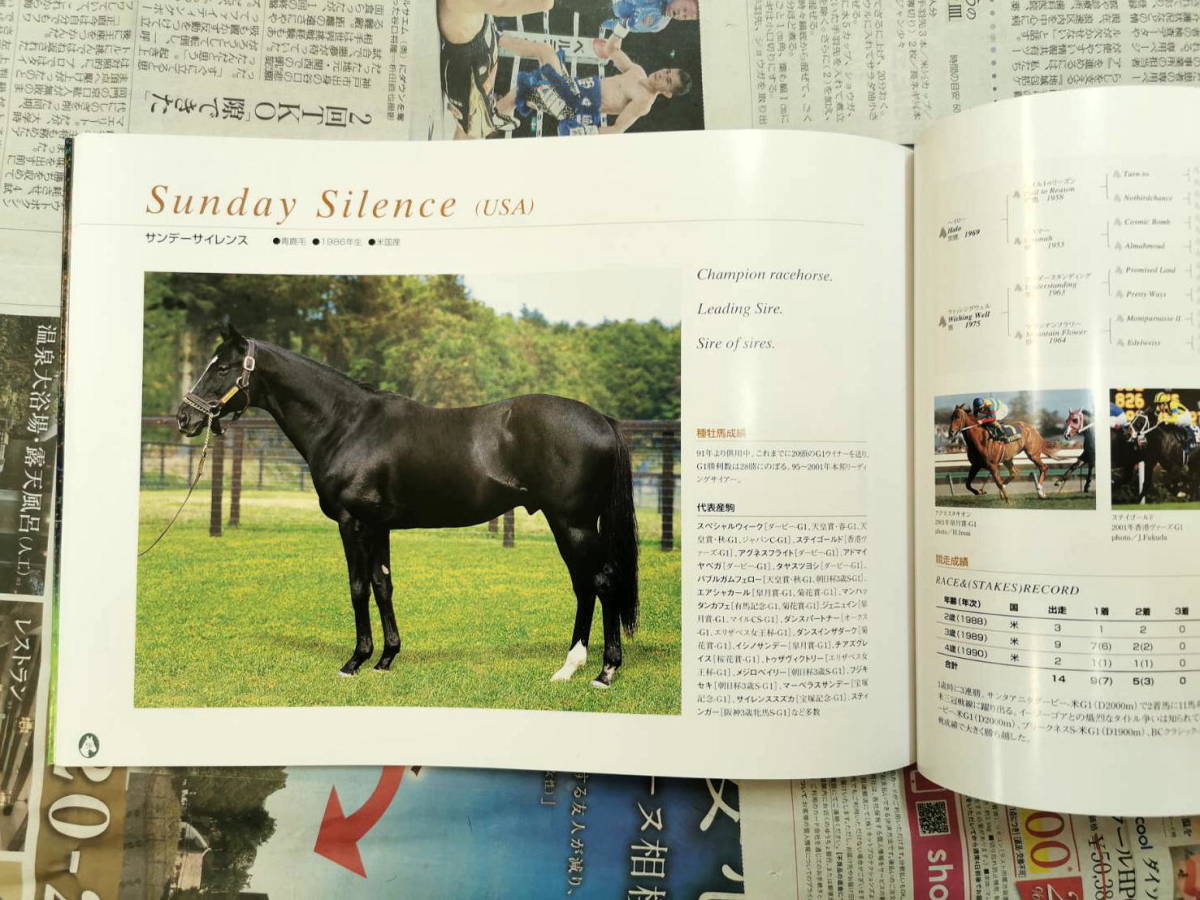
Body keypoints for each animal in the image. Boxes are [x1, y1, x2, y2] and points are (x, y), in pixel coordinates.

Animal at [175, 323, 640, 688]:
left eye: (221, 368)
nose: (184, 418)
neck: (347, 425)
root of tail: (602, 420)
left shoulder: (353, 523)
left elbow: (358, 587)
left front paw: (354, 662)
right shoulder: (377, 526)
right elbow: (383, 586)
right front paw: (385, 659)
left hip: (574, 522)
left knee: (601, 581)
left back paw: (604, 672)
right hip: (568, 523)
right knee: (585, 585)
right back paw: (570, 669)